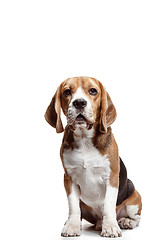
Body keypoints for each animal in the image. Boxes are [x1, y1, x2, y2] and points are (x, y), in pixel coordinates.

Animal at [44, 76, 142, 237]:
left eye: (93, 91)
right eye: (67, 92)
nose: (79, 102)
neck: (84, 139)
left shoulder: (111, 177)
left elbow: (109, 205)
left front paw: (111, 227)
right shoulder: (69, 178)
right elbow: (73, 206)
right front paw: (72, 226)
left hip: (134, 198)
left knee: (135, 217)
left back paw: (125, 221)